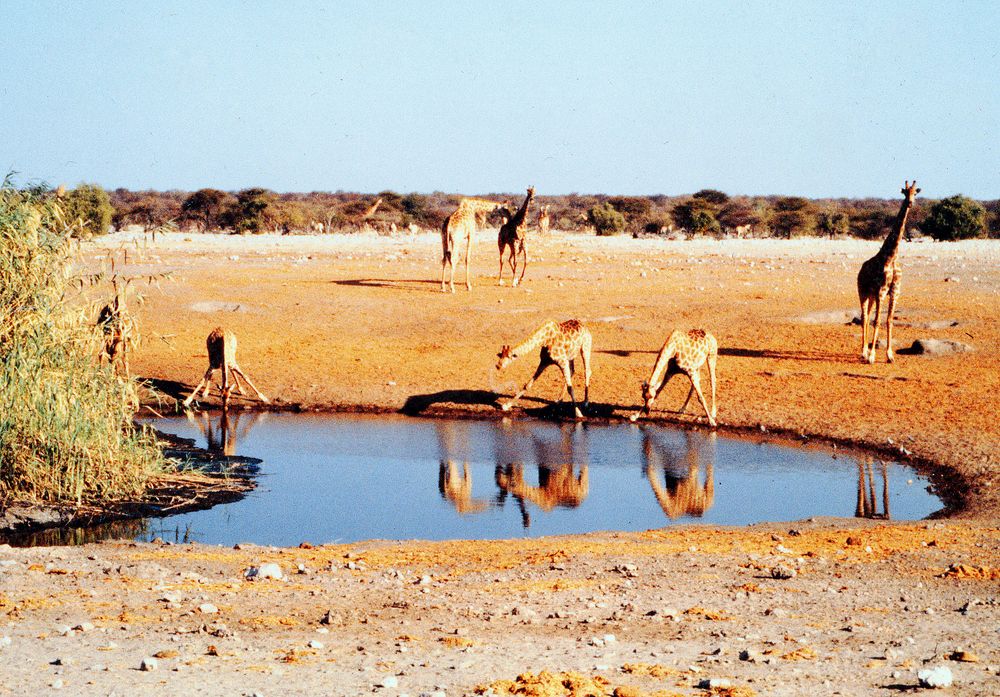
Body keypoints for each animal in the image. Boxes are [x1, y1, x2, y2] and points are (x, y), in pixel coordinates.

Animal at [860, 179, 920, 364]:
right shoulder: (881, 290)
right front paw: (872, 356)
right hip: (863, 292)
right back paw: (863, 352)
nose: (910, 203)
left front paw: (889, 355)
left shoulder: (894, 292)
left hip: (872, 295)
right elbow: (877, 320)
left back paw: (866, 351)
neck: (891, 257)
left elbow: (889, 320)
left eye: (915, 192)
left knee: (867, 316)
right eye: (905, 192)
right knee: (864, 317)